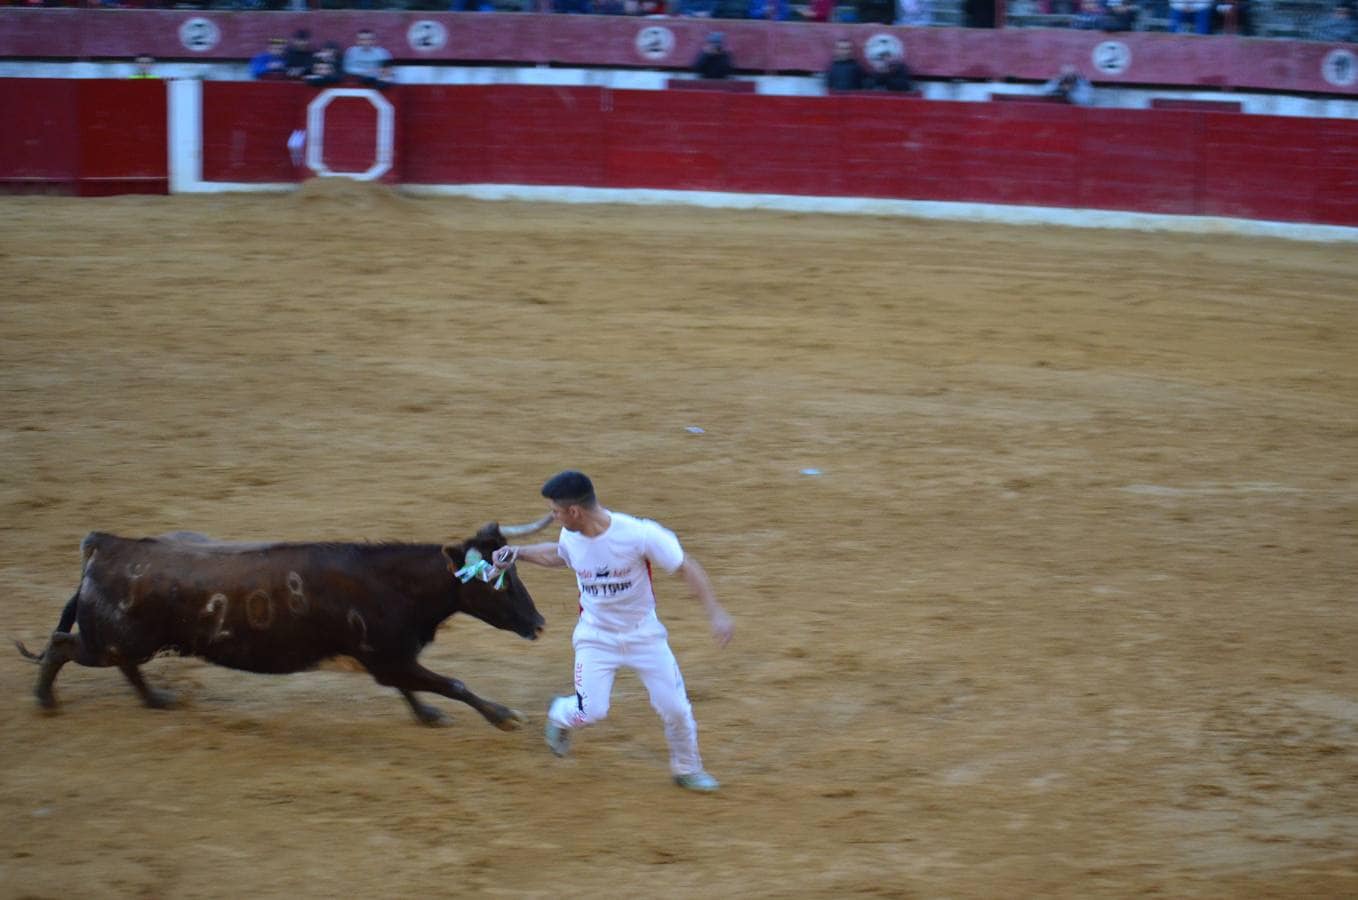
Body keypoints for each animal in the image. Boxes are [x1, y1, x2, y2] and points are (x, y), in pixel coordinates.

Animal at [13, 518, 554, 727]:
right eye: (496, 581)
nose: (539, 622)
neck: (394, 583)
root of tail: (105, 544)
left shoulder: (391, 659)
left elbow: (419, 687)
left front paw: (428, 715)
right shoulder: (389, 658)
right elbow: (452, 682)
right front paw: (504, 716)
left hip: (129, 643)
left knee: (121, 664)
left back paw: (157, 699)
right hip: (111, 641)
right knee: (62, 644)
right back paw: (44, 700)